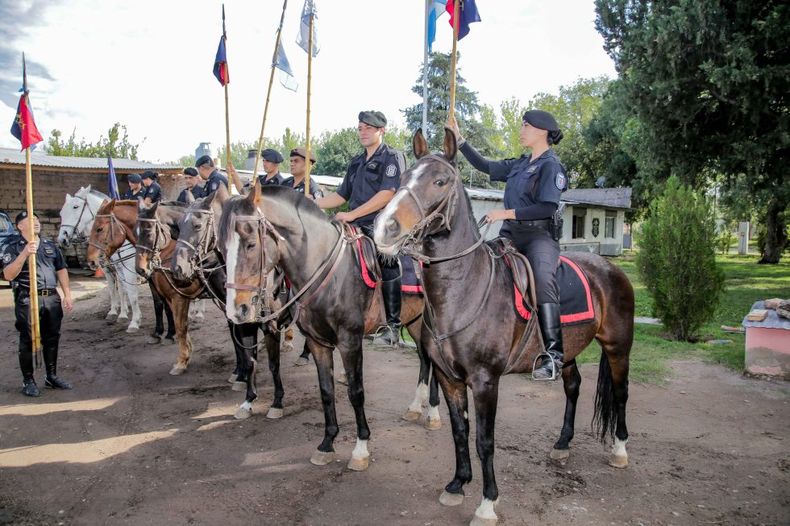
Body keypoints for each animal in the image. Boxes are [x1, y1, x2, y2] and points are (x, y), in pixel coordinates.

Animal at [58, 186, 141, 332]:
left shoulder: (126, 267)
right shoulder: (111, 267)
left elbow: (127, 291)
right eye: (61, 212)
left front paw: (128, 317)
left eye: (75, 206)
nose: (62, 238)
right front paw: (116, 312)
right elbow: (115, 290)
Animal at [170, 186, 287, 420]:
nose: (177, 268)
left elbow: (273, 364)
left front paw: (277, 402)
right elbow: (248, 357)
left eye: (197, 225)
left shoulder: (270, 325)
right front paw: (247, 395)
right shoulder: (237, 318)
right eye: (178, 225)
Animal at [220, 182, 439, 470]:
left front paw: (360, 449)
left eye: (251, 244)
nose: (238, 310)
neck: (327, 272)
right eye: (222, 248)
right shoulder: (317, 342)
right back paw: (415, 407)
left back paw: (433, 412)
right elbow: (326, 390)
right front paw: (327, 443)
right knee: (424, 360)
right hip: (413, 322)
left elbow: (356, 392)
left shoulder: (350, 342)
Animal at [373, 129, 634, 525]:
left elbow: (484, 440)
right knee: (573, 387)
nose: (385, 228)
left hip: (618, 348)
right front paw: (457, 484)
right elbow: (460, 431)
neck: (465, 288)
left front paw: (487, 503)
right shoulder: (449, 378)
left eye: (440, 181)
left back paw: (619, 450)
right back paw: (562, 444)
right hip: (568, 352)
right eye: (402, 179)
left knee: (619, 395)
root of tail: (611, 269)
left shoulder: (485, 381)